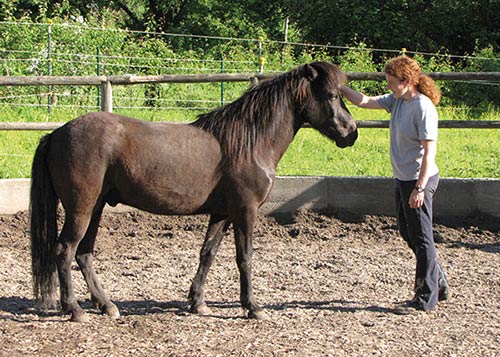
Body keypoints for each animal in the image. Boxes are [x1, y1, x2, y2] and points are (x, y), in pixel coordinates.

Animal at [29, 59, 358, 322]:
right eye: (331, 95)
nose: (351, 132)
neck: (249, 141)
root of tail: (56, 134)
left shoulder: (222, 213)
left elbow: (207, 254)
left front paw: (197, 303)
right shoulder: (245, 211)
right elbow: (245, 257)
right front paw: (253, 307)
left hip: (95, 208)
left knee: (84, 254)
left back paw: (106, 305)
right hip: (81, 209)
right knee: (65, 251)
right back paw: (75, 310)